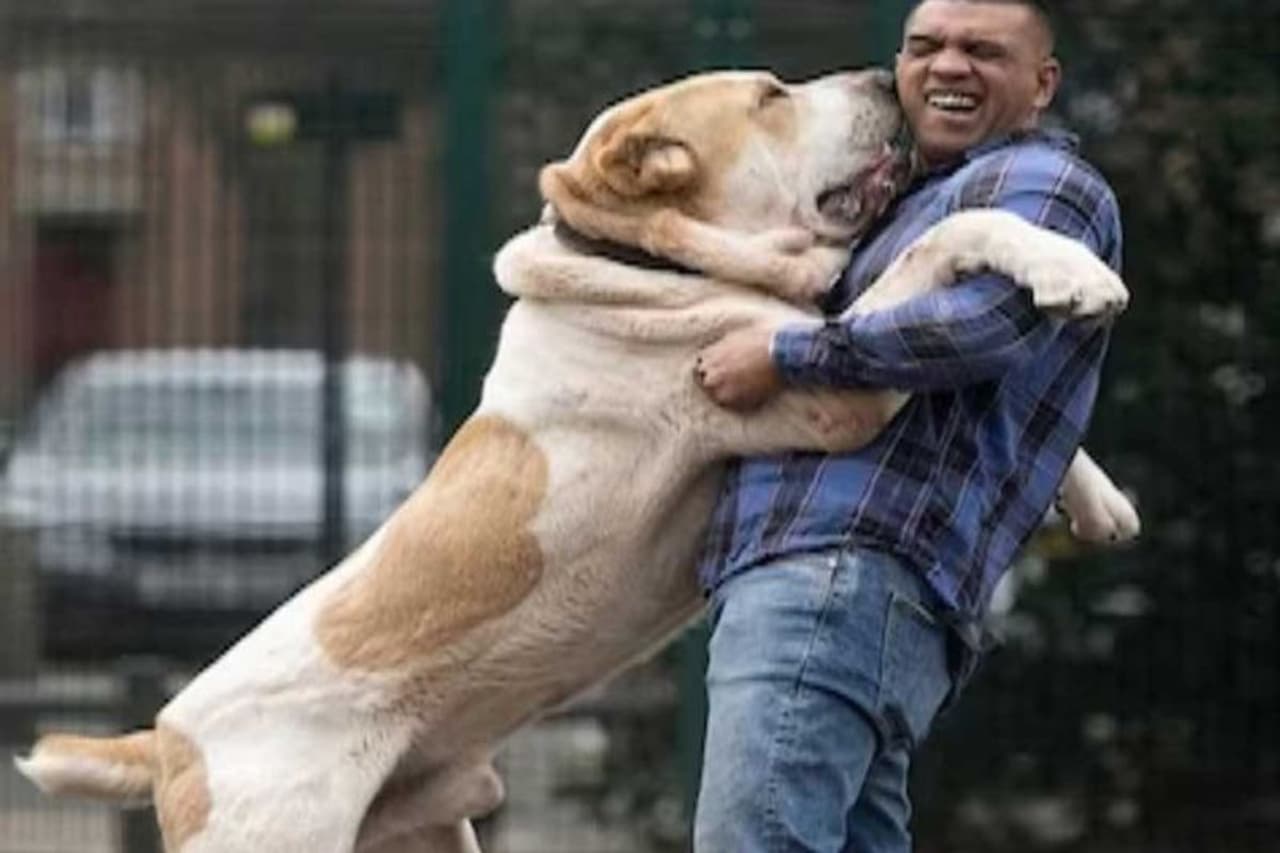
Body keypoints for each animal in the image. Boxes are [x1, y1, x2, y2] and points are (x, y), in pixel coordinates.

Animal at [15, 69, 1139, 852]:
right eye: (770, 95)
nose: (885, 78)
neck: (645, 262)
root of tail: (165, 733)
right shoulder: (832, 395)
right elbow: (944, 239)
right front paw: (1070, 267)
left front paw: (1098, 498)